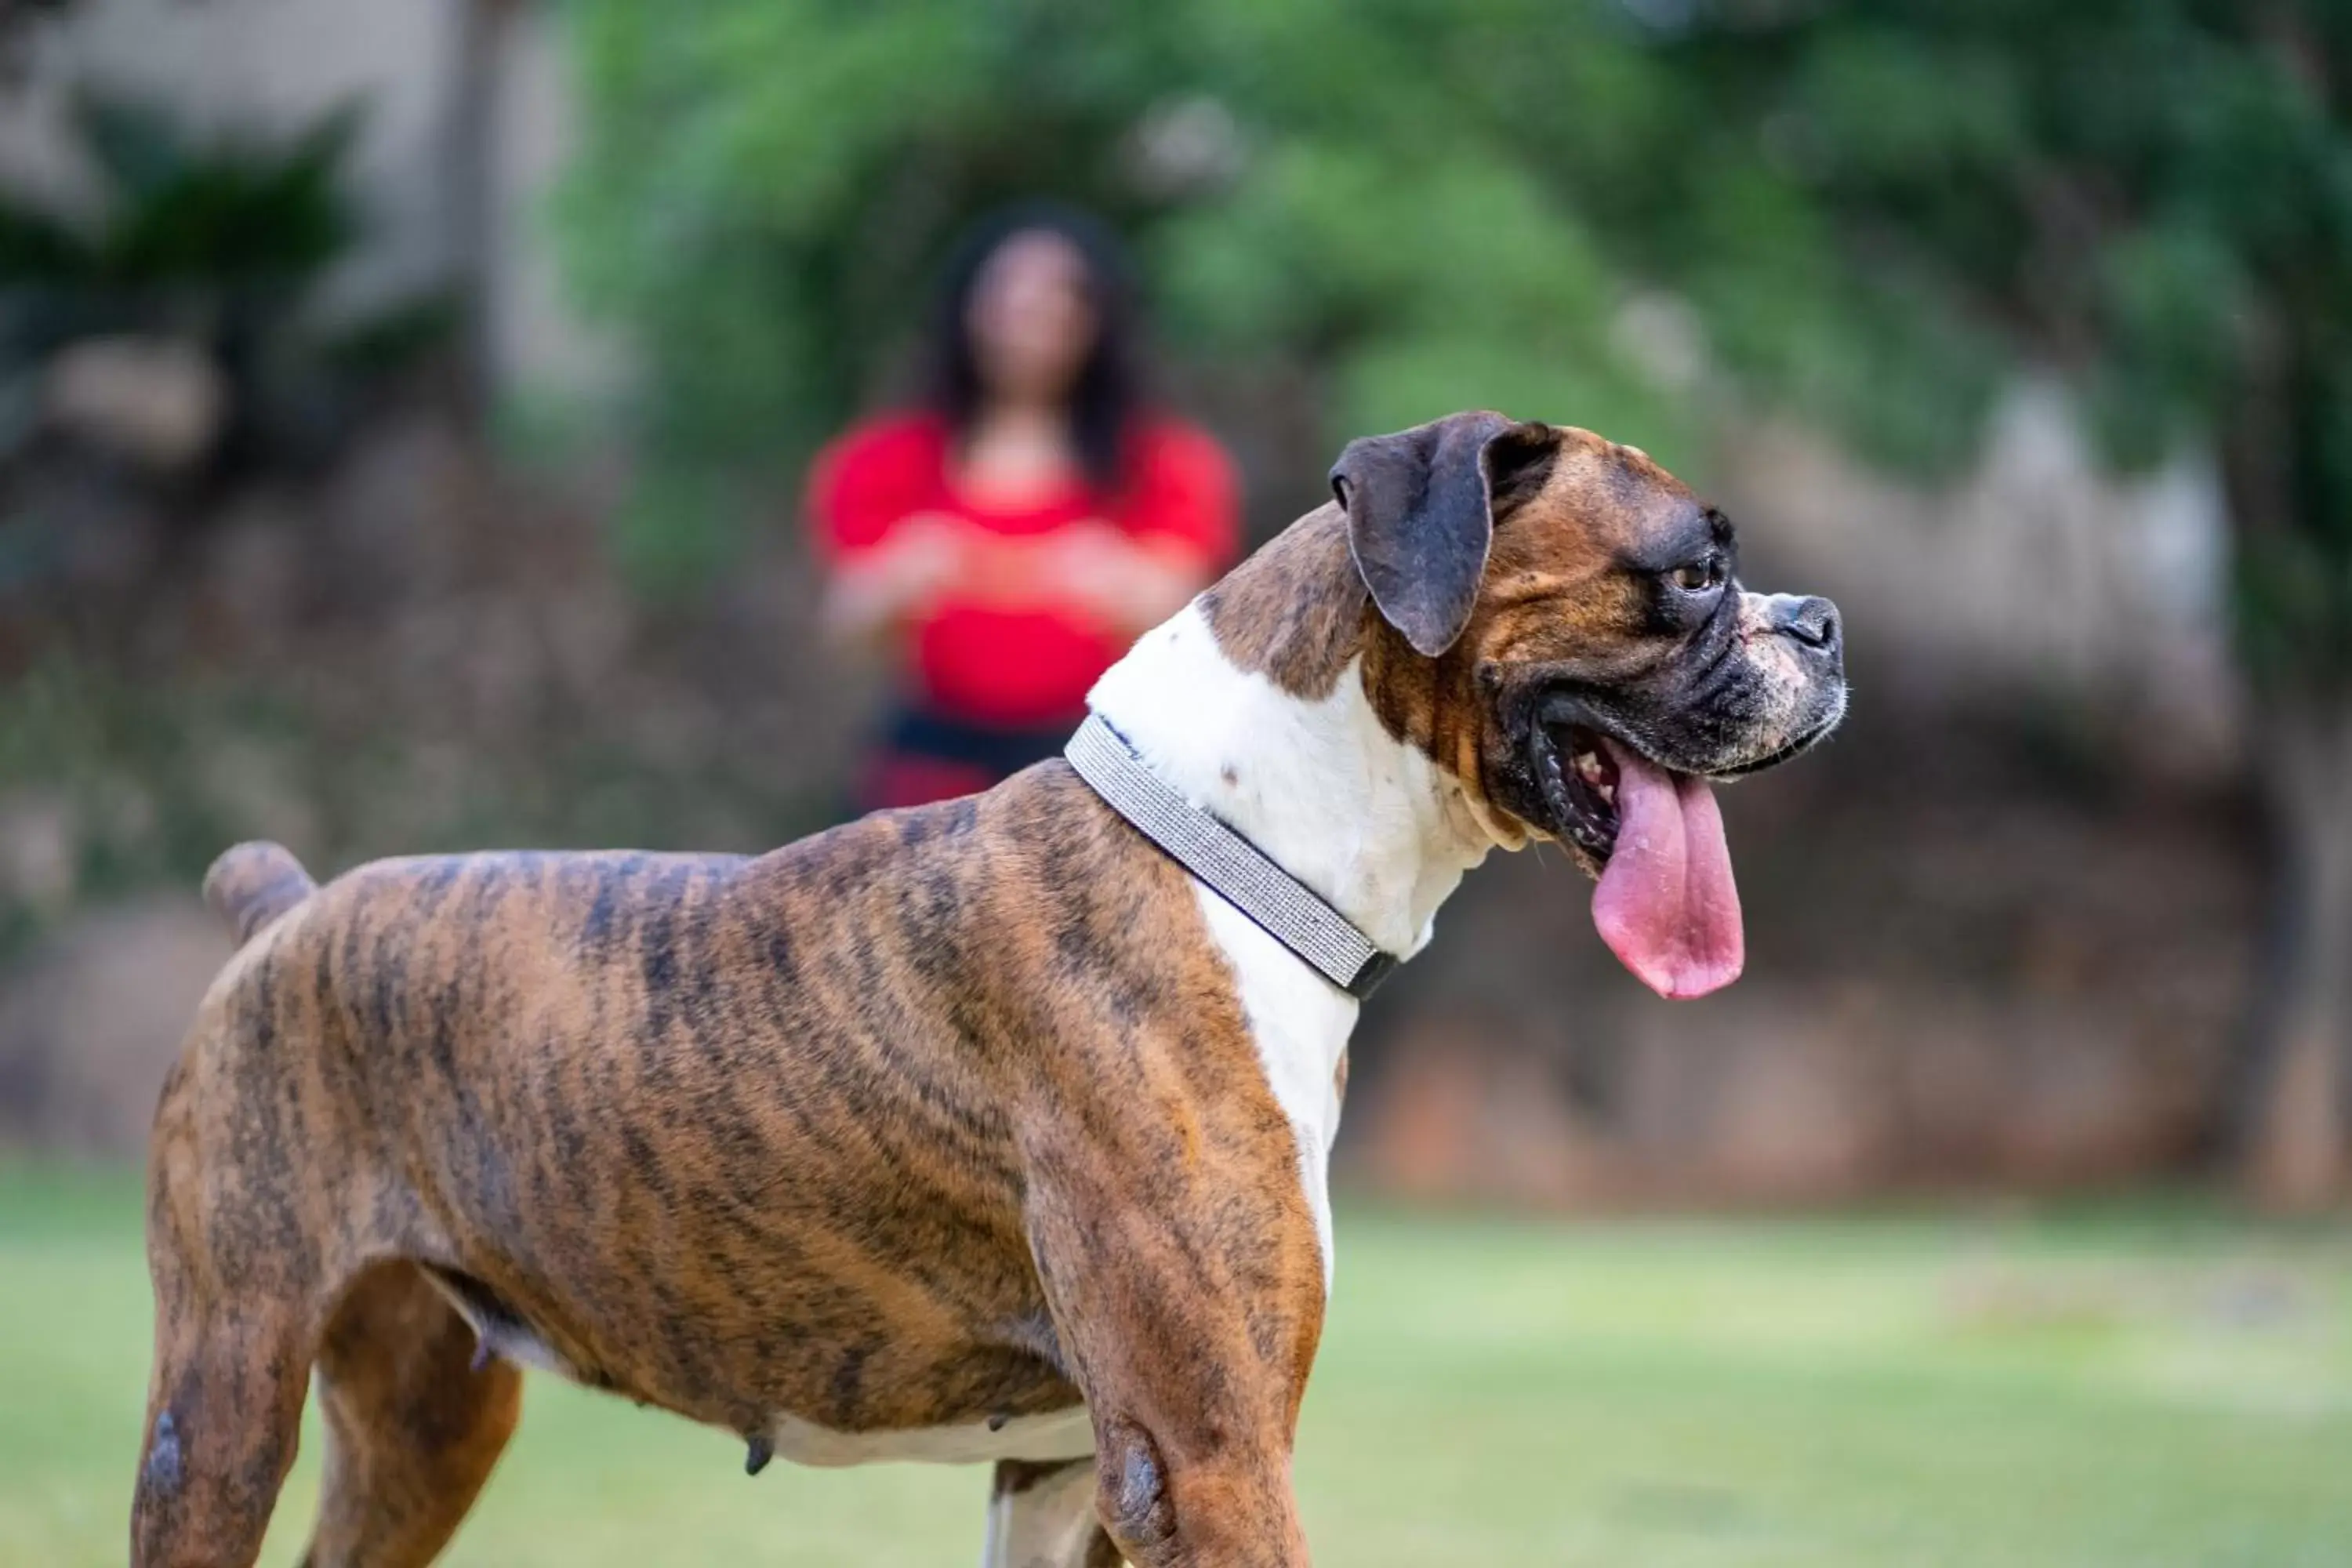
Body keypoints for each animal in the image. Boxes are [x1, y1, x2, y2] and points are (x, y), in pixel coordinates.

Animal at [137, 413, 1844, 1568]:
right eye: (1694, 570)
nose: (1826, 626)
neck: (1230, 851)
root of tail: (289, 913)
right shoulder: (1211, 1452)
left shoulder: (1071, 1471)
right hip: (220, 1400)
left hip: (425, 1428)